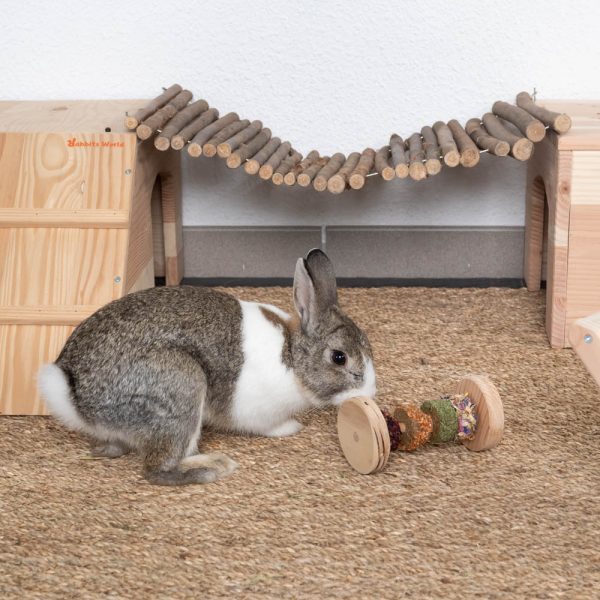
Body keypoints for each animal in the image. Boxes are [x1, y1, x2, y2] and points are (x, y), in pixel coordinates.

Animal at [36, 247, 376, 482]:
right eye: (339, 357)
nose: (369, 393)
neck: (292, 358)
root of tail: (76, 396)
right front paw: (291, 428)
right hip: (181, 385)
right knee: (157, 469)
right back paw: (212, 468)